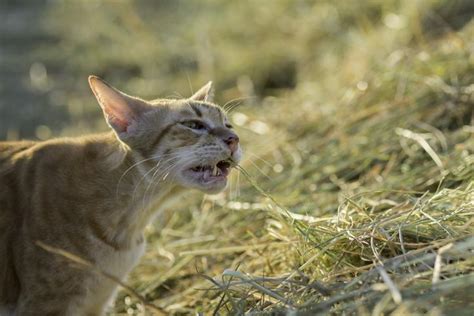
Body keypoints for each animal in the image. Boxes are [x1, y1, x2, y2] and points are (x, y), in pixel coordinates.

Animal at [0, 77, 243, 316]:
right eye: (193, 125)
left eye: (228, 124)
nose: (234, 138)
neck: (129, 220)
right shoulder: (46, 304)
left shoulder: (97, 301)